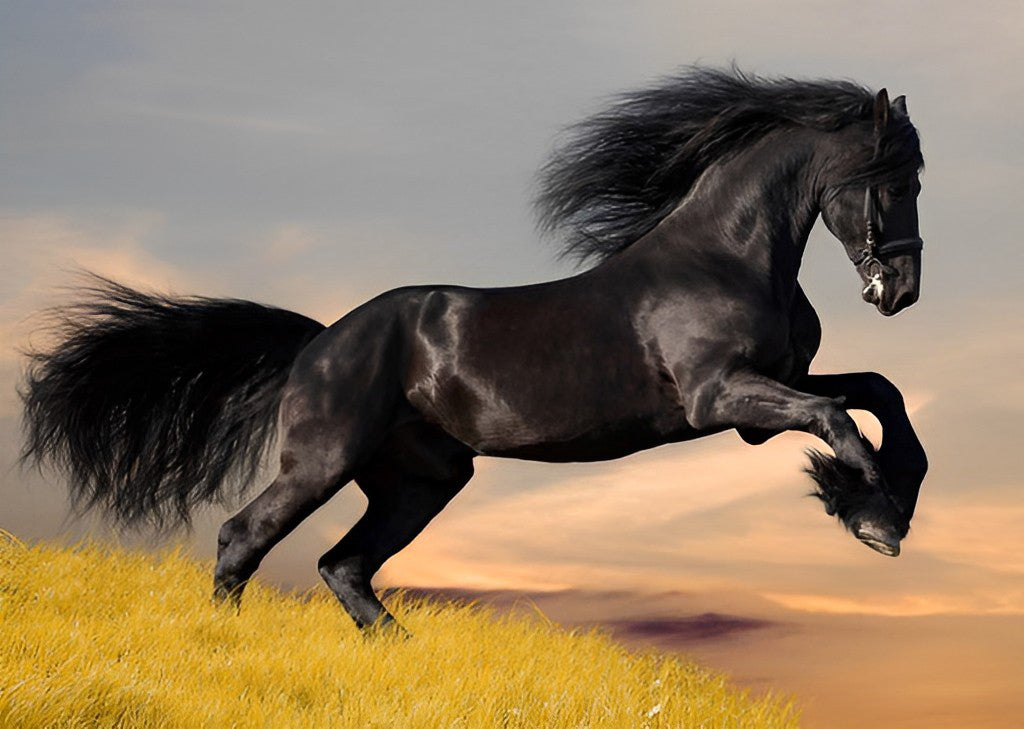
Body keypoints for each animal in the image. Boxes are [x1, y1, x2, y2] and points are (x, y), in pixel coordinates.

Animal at [21, 67, 928, 634]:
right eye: (893, 179)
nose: (902, 290)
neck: (725, 256)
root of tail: (320, 341)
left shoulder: (768, 393)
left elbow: (878, 392)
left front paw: (887, 499)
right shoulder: (723, 398)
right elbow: (838, 417)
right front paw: (872, 515)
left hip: (422, 479)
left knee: (343, 564)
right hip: (323, 460)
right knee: (244, 537)